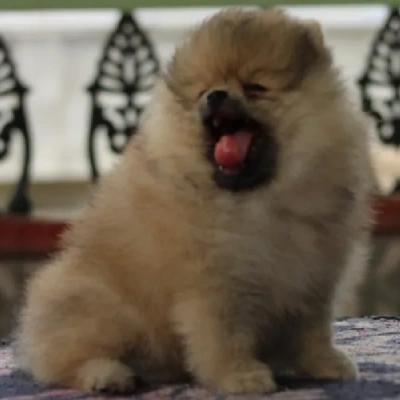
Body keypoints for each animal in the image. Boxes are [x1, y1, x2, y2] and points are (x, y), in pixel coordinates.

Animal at [14, 8, 374, 394]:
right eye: (204, 89)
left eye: (256, 87)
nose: (215, 95)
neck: (259, 200)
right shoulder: (214, 281)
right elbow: (222, 335)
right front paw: (239, 376)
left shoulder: (314, 275)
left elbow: (313, 331)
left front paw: (326, 363)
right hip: (98, 303)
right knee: (66, 359)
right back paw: (107, 375)